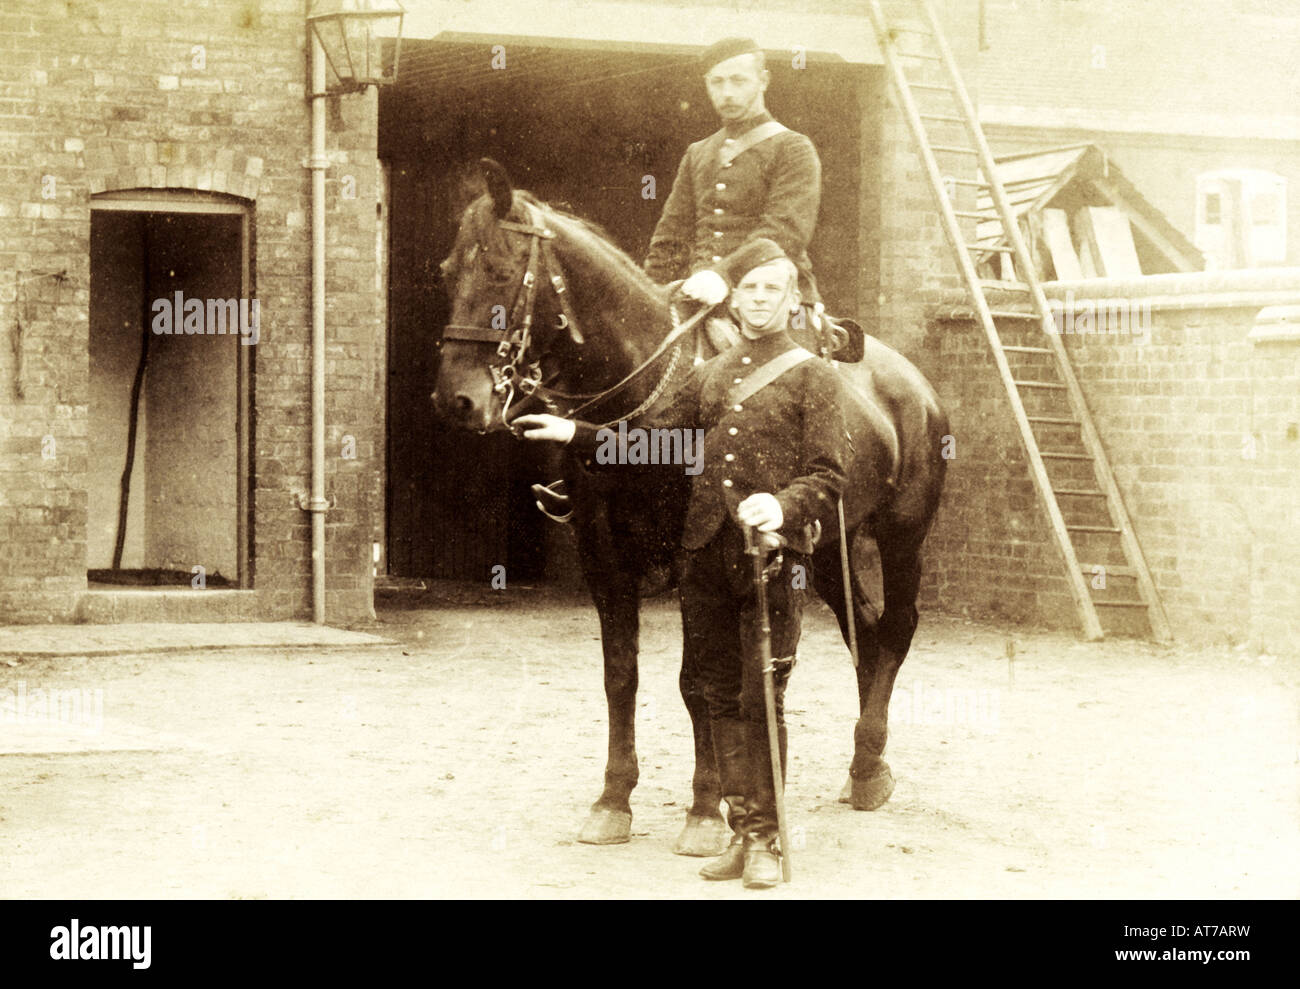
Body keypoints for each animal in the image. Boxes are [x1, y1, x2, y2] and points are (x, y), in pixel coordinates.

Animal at [431, 157, 951, 852]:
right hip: (821, 548)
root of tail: (913, 386)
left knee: (893, 629)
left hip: (901, 538)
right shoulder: (604, 562)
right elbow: (620, 676)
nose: (457, 400)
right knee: (863, 632)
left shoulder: (692, 562)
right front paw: (614, 799)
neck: (645, 399)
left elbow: (698, 682)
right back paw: (862, 766)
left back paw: (865, 769)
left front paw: (706, 809)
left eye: (500, 268)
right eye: (447, 272)